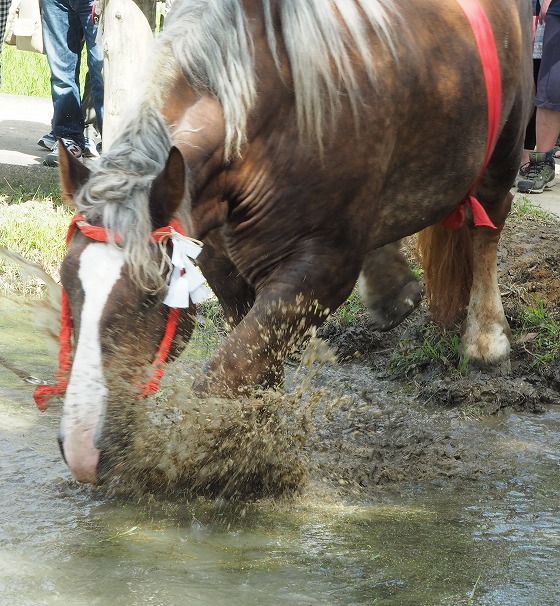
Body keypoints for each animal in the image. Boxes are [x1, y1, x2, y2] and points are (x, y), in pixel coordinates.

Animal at [47, 0, 528, 484]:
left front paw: (230, 453)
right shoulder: (225, 265)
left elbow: (223, 375)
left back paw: (486, 339)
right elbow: (251, 362)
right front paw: (256, 435)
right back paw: (394, 290)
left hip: (505, 141)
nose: (81, 450)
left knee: (488, 221)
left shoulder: (321, 271)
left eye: (150, 296)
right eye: (67, 284)